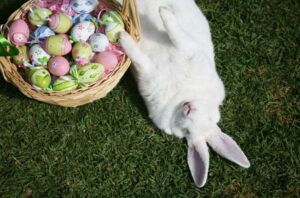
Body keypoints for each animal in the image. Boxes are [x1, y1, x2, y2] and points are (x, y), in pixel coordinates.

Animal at [117, 0, 251, 187]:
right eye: (210, 117)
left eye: (186, 132)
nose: (189, 109)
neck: (182, 94)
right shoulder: (189, 50)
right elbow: (175, 32)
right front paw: (163, 11)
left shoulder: (150, 76)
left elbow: (141, 59)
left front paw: (123, 38)